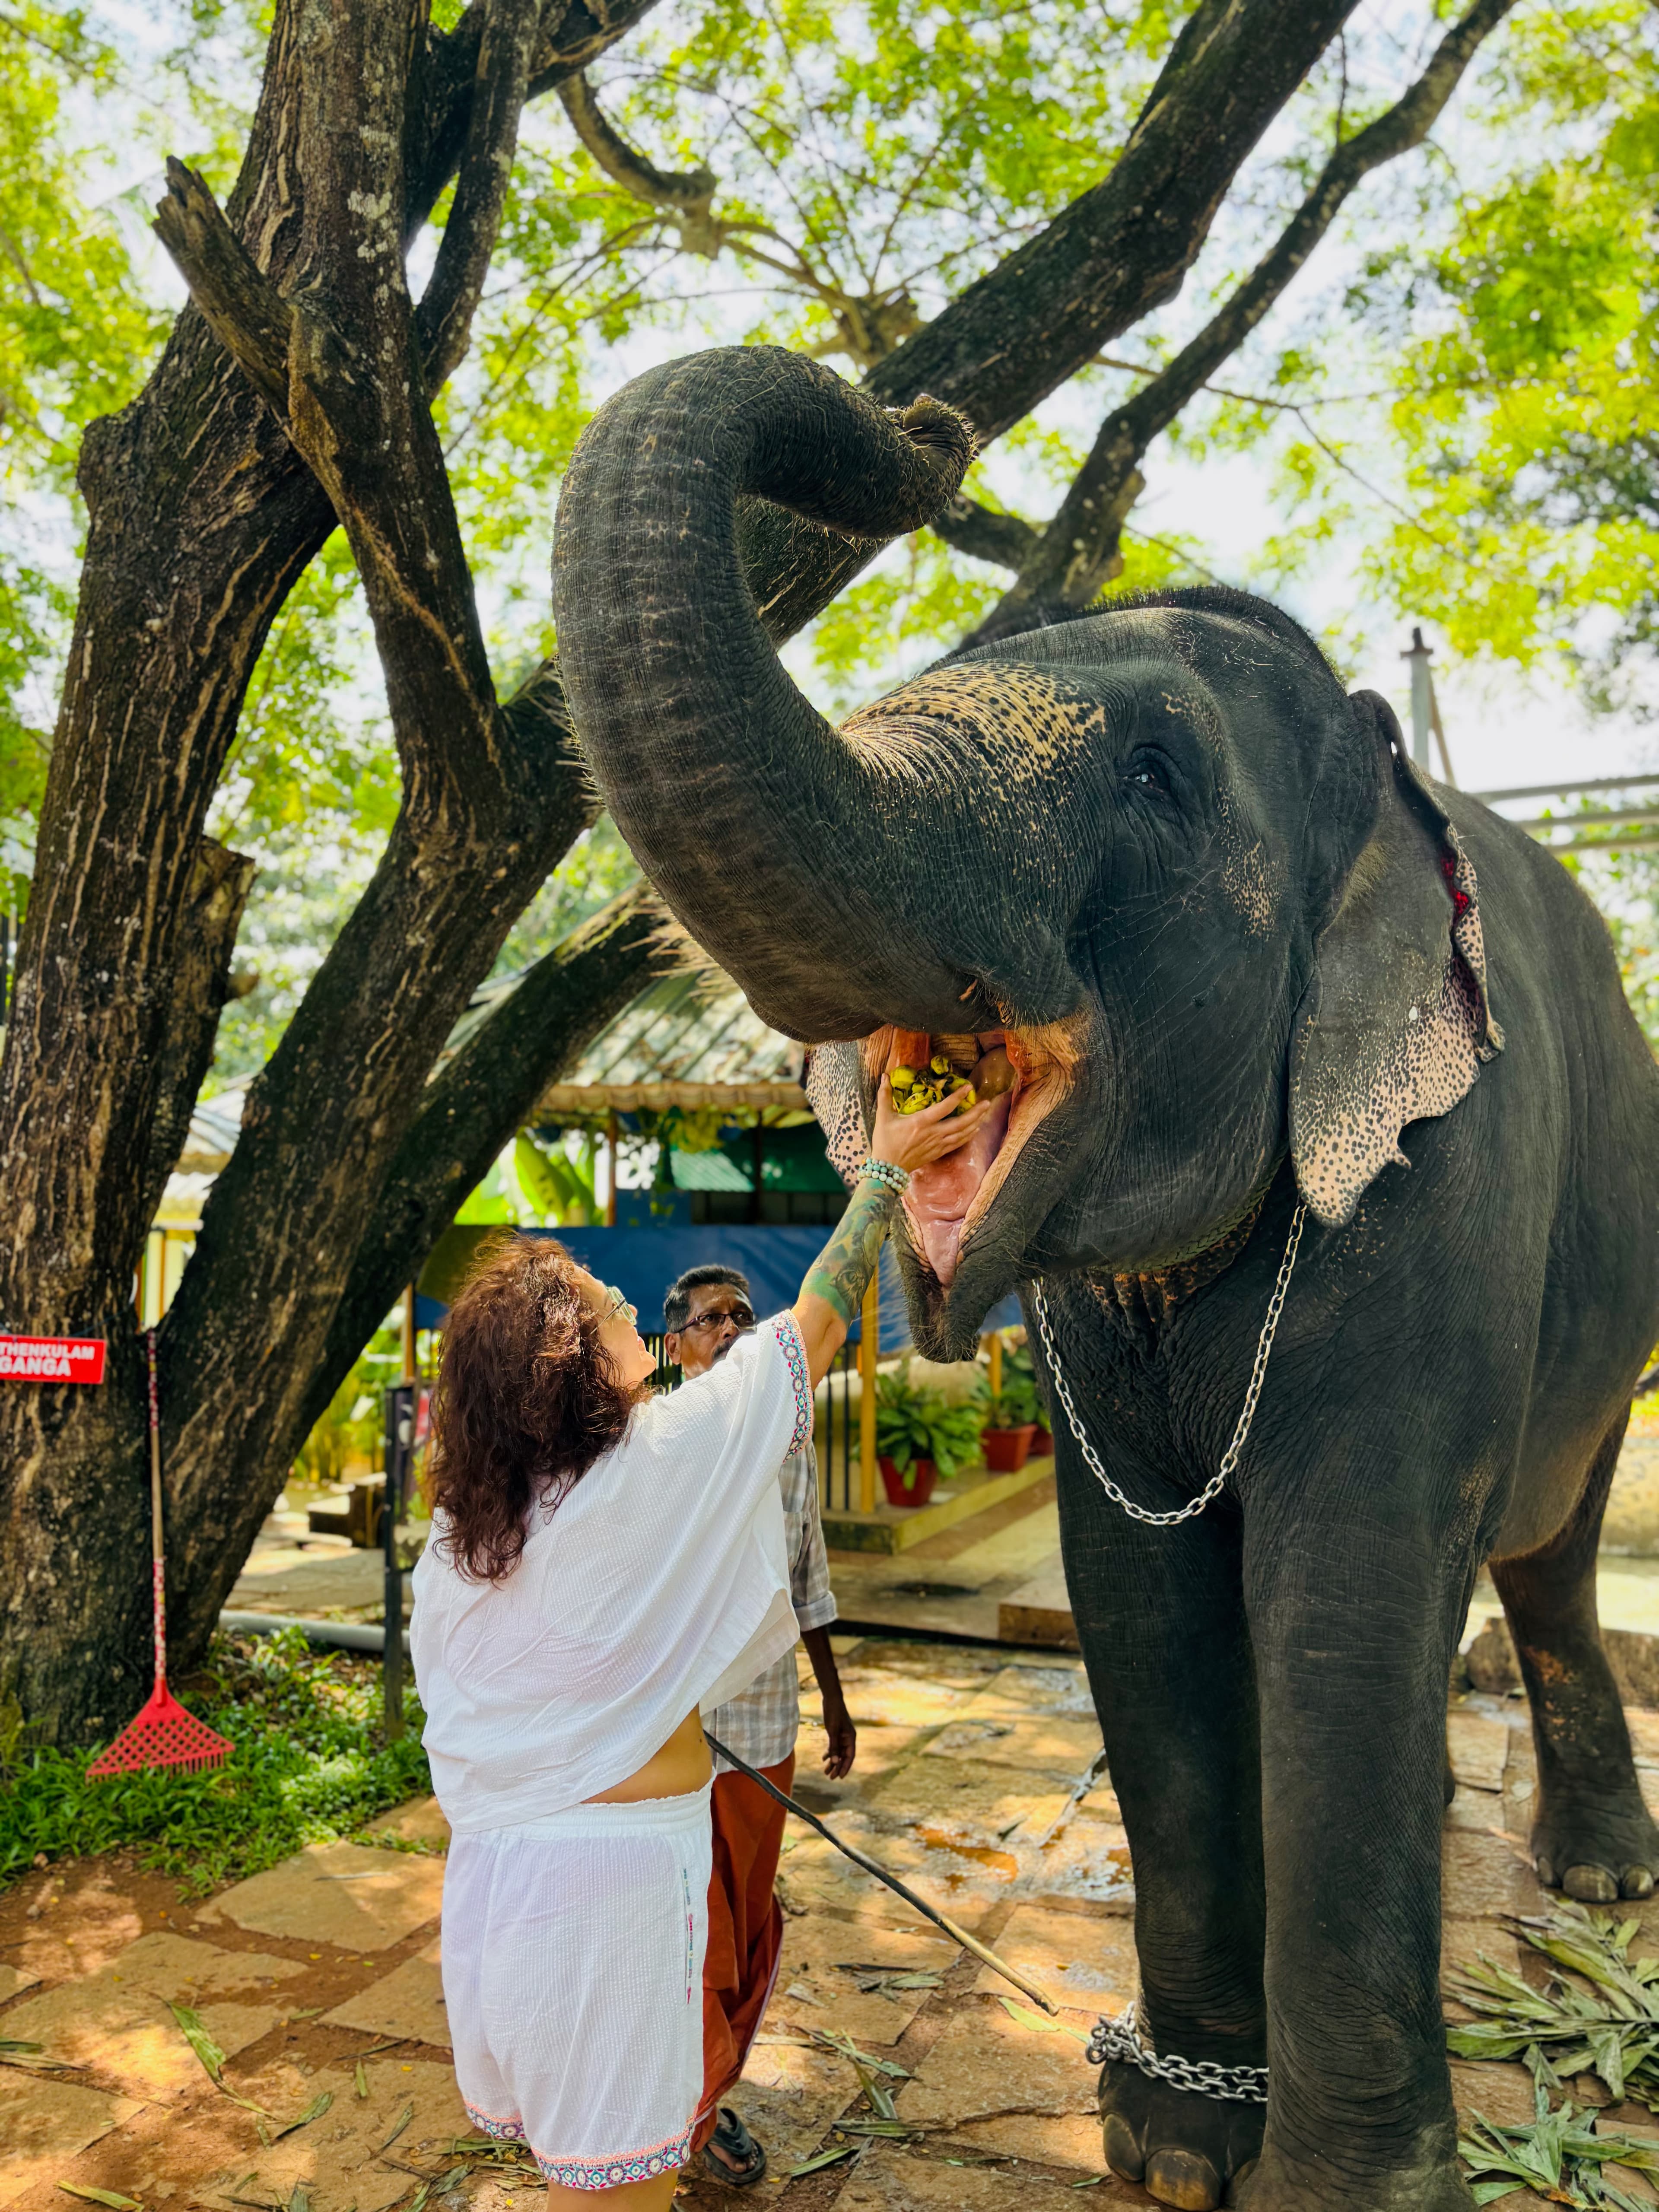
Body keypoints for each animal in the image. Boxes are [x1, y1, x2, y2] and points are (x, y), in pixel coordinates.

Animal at [551, 346, 1659, 2211]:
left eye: (1153, 773)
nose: (928, 432)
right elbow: (1139, 1604)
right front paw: (1177, 2142)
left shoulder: (1448, 1181)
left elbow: (1346, 1586)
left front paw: (1335, 2188)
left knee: (1550, 1551)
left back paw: (1593, 1881)